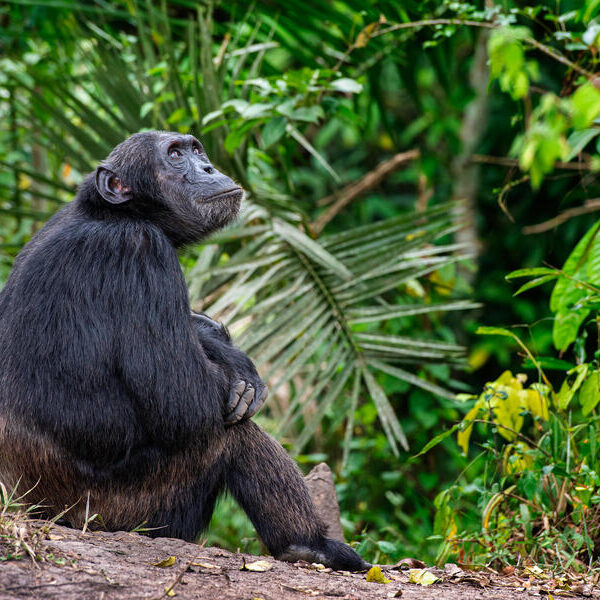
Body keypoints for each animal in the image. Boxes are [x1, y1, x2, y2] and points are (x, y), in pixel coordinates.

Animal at [0, 131, 370, 572]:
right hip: (128, 511)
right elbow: (183, 400)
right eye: (175, 156)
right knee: (230, 433)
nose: (208, 167)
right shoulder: (141, 251)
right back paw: (309, 545)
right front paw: (231, 364)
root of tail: (30, 509)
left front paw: (218, 342)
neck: (113, 214)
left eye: (196, 150)